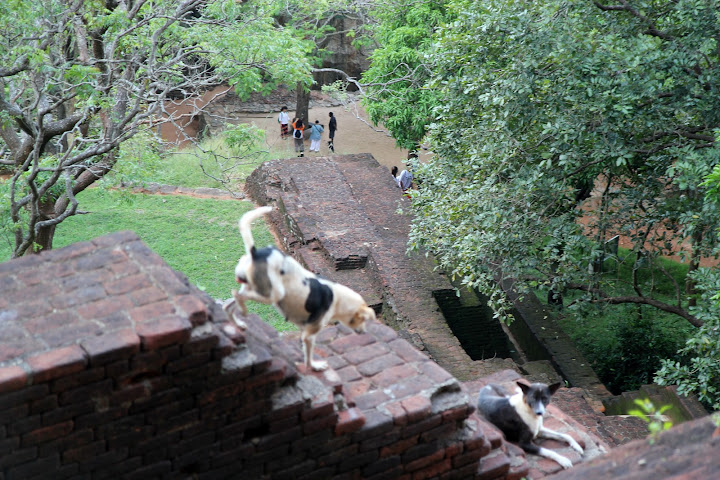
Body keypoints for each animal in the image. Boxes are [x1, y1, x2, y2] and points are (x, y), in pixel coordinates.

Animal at [222, 206, 374, 372]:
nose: (365, 332)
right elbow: (308, 356)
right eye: (363, 319)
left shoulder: (304, 328)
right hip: (272, 294)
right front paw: (314, 366)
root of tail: (255, 253)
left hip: (253, 288)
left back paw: (237, 322)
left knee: (230, 303)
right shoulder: (310, 333)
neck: (338, 299)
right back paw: (242, 311)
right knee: (237, 295)